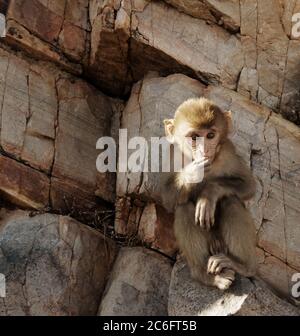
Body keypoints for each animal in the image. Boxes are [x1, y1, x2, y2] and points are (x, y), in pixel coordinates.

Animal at [162, 96, 258, 288]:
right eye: (194, 137)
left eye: (210, 136)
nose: (204, 150)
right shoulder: (172, 156)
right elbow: (166, 198)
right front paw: (192, 173)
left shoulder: (228, 151)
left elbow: (249, 185)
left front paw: (208, 195)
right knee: (183, 207)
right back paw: (206, 275)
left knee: (231, 201)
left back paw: (243, 266)